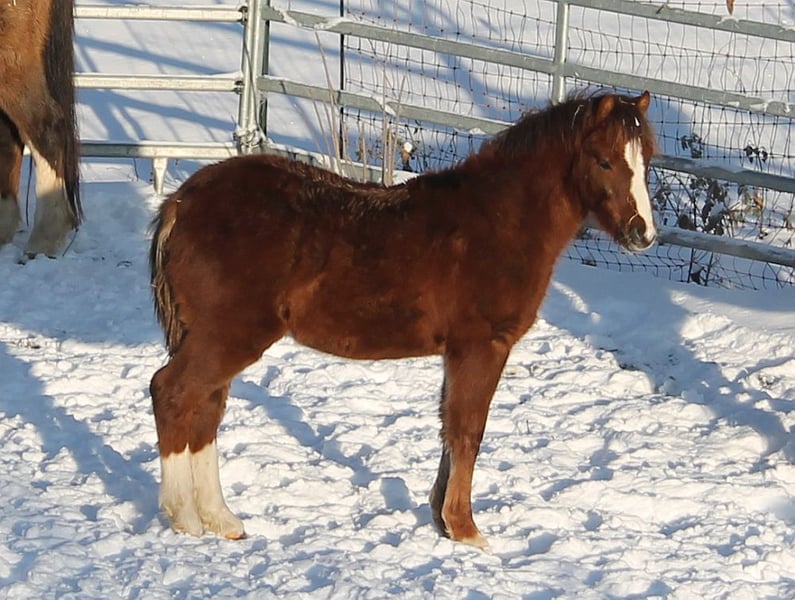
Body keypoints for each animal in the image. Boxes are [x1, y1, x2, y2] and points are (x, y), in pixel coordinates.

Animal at [149, 90, 657, 550]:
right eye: (603, 160)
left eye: (647, 159)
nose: (643, 234)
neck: (498, 221)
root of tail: (182, 202)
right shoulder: (483, 346)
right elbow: (469, 430)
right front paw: (467, 531)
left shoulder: (458, 352)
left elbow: (450, 427)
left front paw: (443, 522)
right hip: (229, 337)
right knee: (171, 393)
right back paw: (185, 518)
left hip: (216, 339)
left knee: (205, 409)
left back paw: (222, 519)